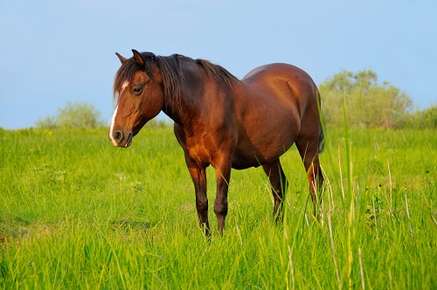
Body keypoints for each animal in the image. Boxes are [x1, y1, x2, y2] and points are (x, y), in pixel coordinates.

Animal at [109, 49, 324, 236]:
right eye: (118, 90)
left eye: (137, 89)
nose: (116, 135)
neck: (201, 106)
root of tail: (306, 79)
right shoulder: (194, 163)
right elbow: (201, 204)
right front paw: (207, 240)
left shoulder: (222, 160)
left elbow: (220, 204)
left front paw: (221, 240)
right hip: (269, 157)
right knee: (279, 188)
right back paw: (277, 229)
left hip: (308, 145)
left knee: (315, 183)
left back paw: (317, 223)